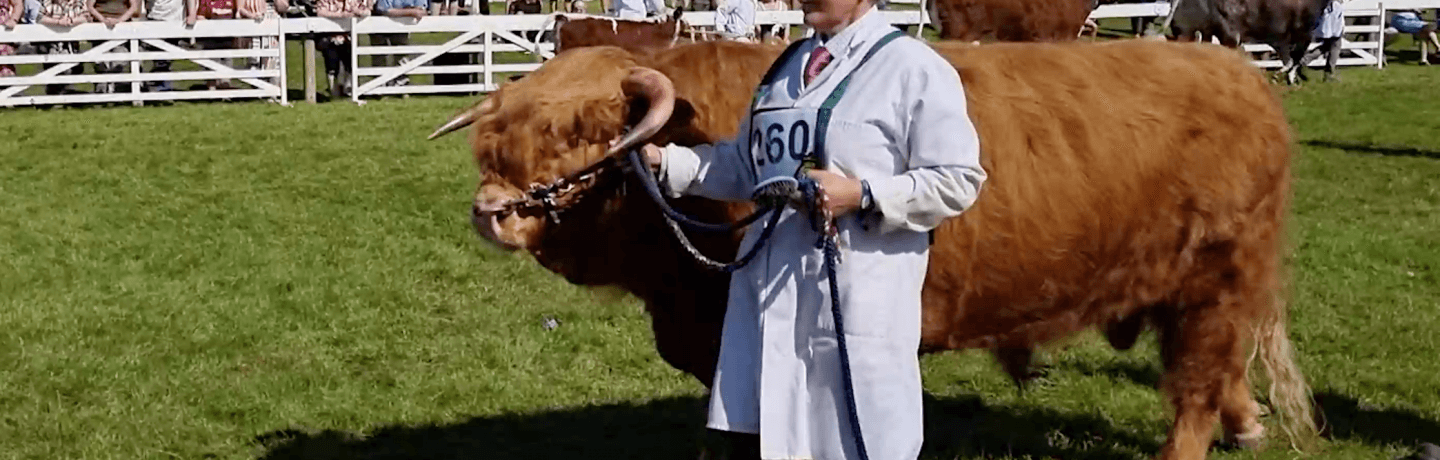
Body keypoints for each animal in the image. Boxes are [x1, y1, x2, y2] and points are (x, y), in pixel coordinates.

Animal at [423, 39, 1319, 460]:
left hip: (1214, 276)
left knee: (1196, 383)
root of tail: (1238, 72)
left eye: (583, 135)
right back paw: (1250, 427)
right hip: (1189, 284)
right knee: (1218, 367)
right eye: (496, 139)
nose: (490, 212)